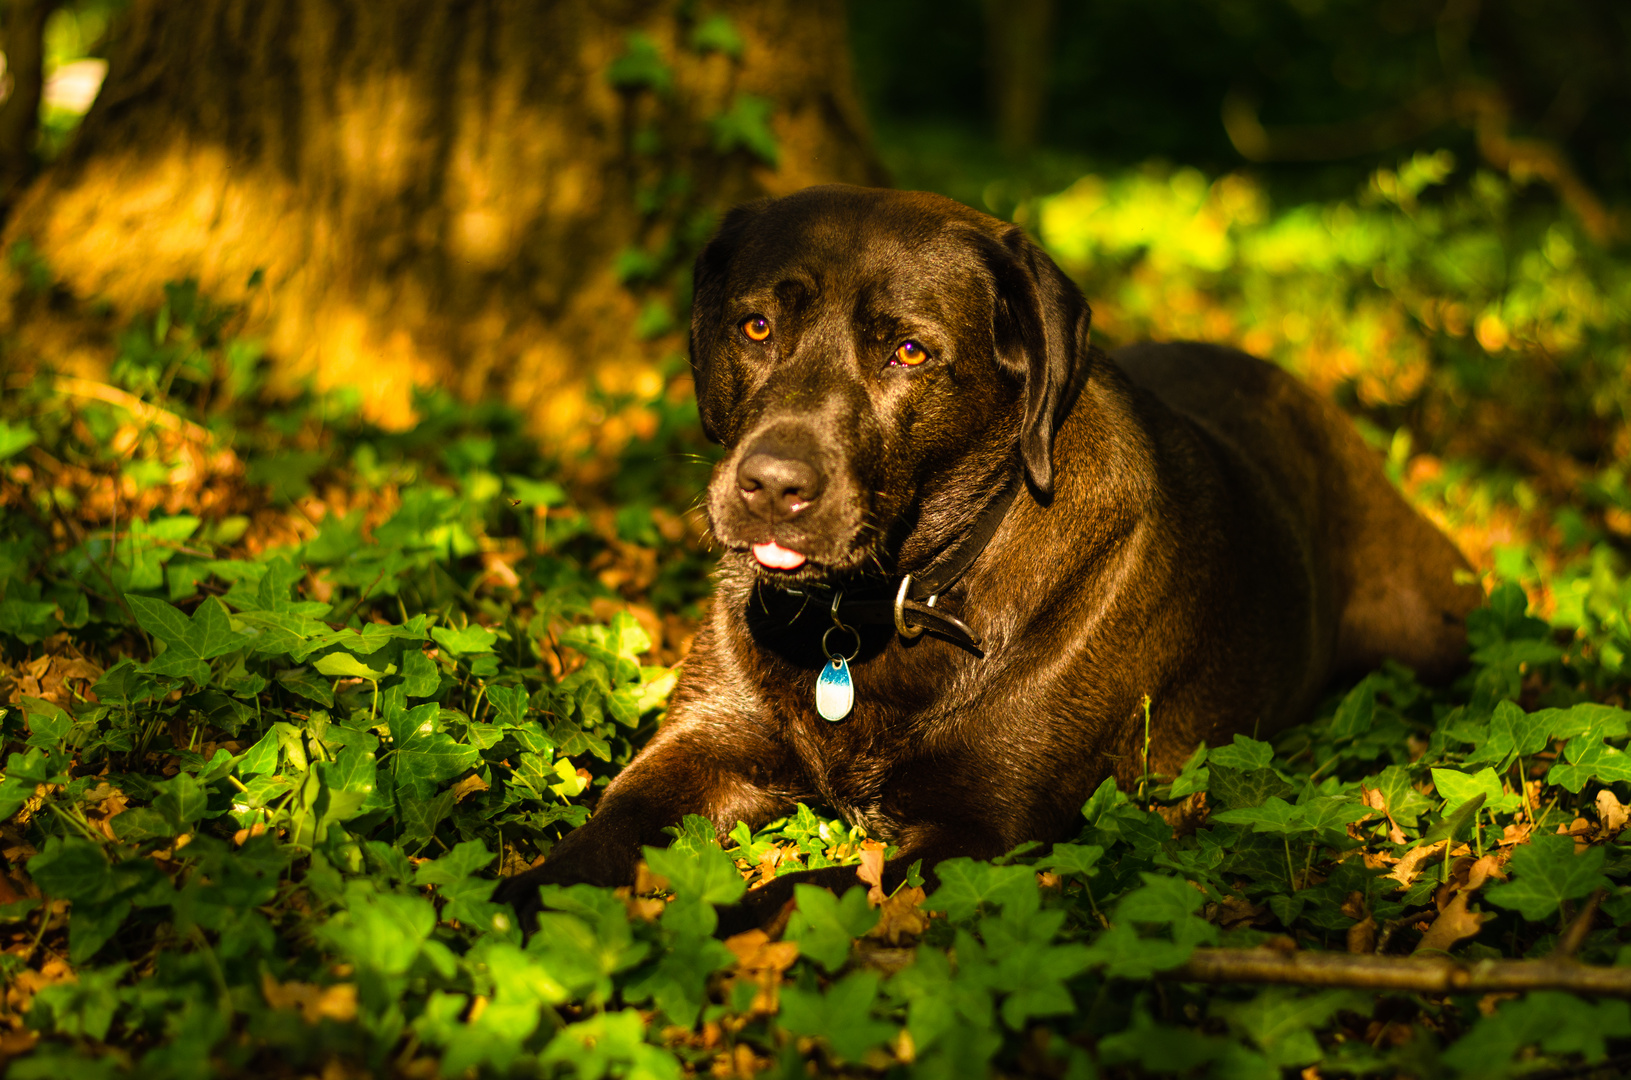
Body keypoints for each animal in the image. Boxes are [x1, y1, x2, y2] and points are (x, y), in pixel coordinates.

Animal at [495, 185, 1480, 933]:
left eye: (909, 351)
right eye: (756, 327)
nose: (770, 485)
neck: (877, 610)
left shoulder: (983, 830)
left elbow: (806, 891)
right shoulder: (705, 741)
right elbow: (608, 822)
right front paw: (521, 902)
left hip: (1430, 622)